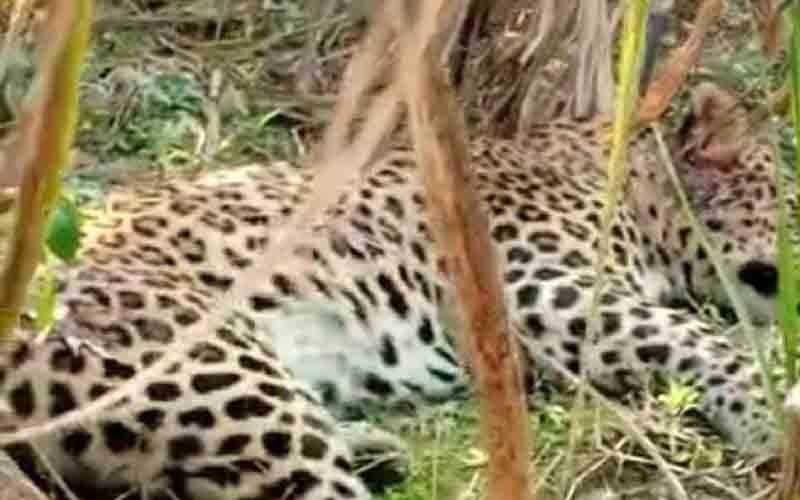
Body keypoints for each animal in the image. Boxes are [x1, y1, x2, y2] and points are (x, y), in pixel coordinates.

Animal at [0, 80, 787, 500]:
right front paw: (771, 417)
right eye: (790, 197)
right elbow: (702, 339)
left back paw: (376, 446)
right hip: (218, 370)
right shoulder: (540, 292)